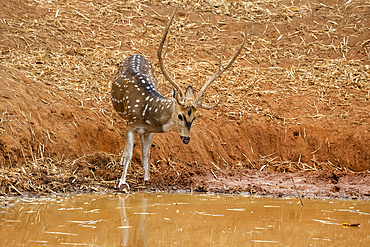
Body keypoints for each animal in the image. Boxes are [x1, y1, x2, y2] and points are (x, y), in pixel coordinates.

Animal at [111, 7, 247, 189]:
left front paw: (147, 179)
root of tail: (137, 54)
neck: (147, 112)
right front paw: (122, 182)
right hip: (124, 115)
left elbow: (146, 153)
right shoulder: (131, 124)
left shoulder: (149, 131)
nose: (186, 139)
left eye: (194, 117)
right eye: (180, 116)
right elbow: (130, 153)